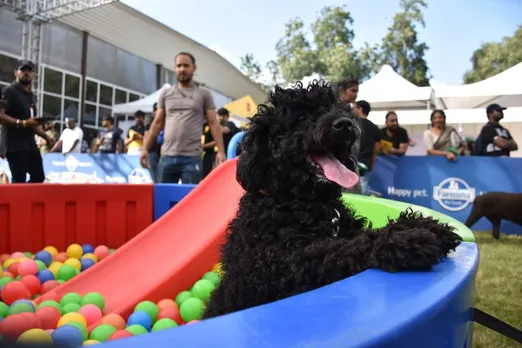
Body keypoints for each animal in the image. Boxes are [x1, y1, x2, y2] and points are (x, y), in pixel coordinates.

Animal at [202, 81, 460, 318]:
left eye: (334, 109)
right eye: (302, 117)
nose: (344, 124)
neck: (305, 202)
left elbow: (368, 233)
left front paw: (426, 225)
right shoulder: (290, 263)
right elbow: (348, 247)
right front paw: (408, 242)